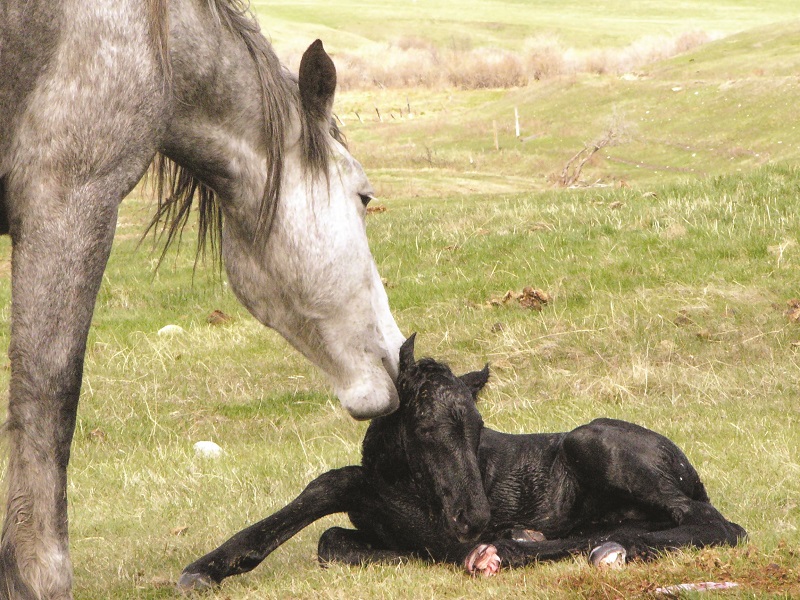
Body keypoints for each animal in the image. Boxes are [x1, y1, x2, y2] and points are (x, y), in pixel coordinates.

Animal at [0, 1, 404, 597]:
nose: (399, 357)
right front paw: (38, 574)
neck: (153, 33)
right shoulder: (68, 197)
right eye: (364, 196)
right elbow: (49, 391)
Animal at [177, 334, 746, 588]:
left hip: (595, 444)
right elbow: (332, 537)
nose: (476, 518)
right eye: (426, 427)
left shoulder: (435, 522)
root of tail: (683, 463)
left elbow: (337, 485)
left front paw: (209, 566)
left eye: (478, 431)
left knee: (715, 524)